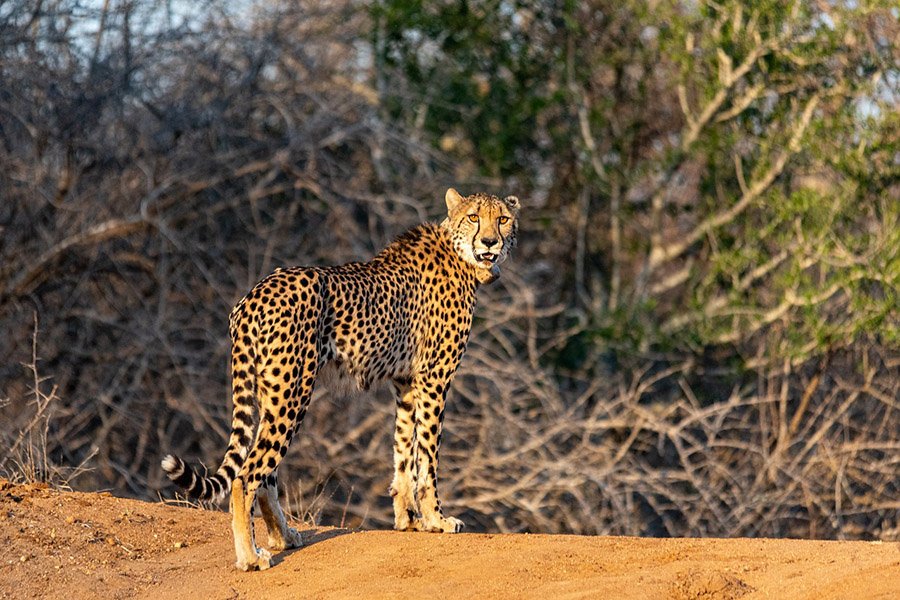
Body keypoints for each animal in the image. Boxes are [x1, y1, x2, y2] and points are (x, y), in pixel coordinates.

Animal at [161, 188, 520, 571]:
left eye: (502, 219)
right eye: (473, 217)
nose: (490, 241)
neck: (462, 257)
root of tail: (254, 294)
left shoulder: (406, 383)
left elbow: (403, 452)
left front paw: (408, 520)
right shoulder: (434, 378)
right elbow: (427, 456)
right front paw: (437, 518)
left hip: (273, 392)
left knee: (265, 476)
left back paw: (283, 537)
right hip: (293, 392)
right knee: (246, 475)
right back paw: (250, 556)